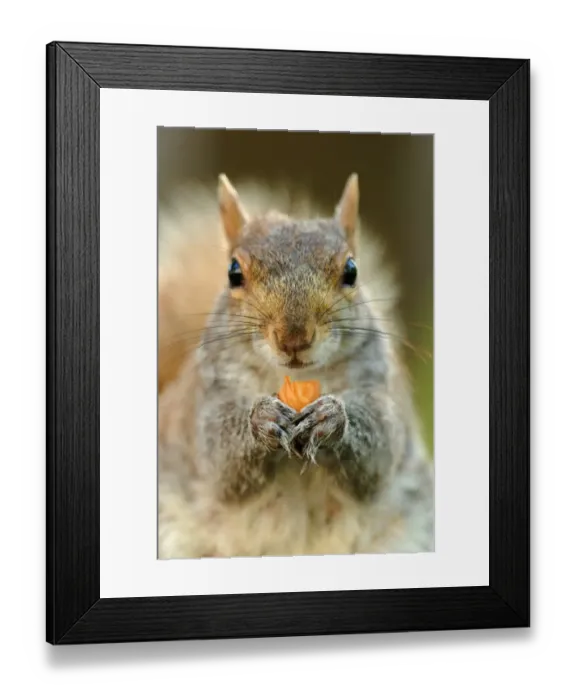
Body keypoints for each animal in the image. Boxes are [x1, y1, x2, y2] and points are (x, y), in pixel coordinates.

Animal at [157, 173, 434, 559]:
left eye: (351, 271)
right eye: (233, 273)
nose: (294, 337)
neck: (296, 377)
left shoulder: (378, 385)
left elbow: (379, 450)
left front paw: (331, 418)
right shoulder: (209, 398)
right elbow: (222, 462)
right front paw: (261, 419)